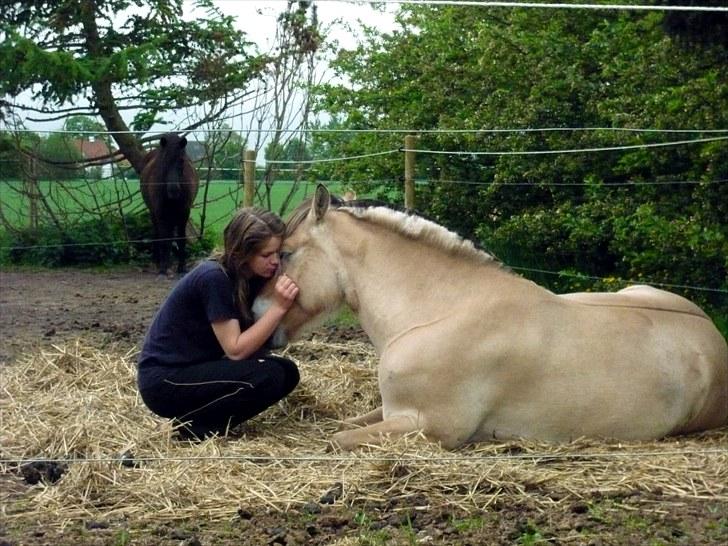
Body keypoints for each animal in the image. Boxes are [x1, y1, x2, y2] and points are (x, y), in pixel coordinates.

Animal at [139, 132, 199, 276]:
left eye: (182, 161)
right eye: (164, 160)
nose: (174, 189)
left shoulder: (183, 214)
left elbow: (181, 239)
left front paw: (182, 268)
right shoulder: (160, 214)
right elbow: (163, 240)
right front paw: (162, 269)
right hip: (155, 214)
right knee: (158, 234)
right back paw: (158, 261)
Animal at [252, 185, 728, 448]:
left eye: (286, 254)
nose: (255, 312)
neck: (438, 312)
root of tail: (713, 337)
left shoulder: (429, 427)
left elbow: (337, 439)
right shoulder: (391, 411)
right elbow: (342, 424)